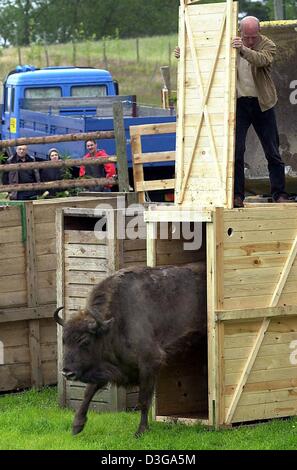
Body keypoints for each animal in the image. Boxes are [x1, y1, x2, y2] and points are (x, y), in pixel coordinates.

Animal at [53, 262, 206, 436]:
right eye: (64, 340)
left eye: (85, 341)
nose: (67, 372)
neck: (113, 324)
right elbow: (88, 392)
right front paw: (76, 426)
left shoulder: (150, 363)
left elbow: (143, 400)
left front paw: (141, 431)